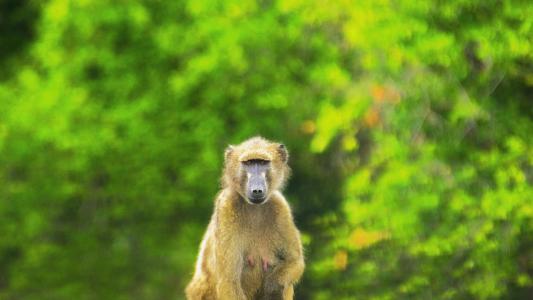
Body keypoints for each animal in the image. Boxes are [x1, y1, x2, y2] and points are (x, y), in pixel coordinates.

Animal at [186, 137, 304, 298]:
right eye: (248, 163)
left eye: (262, 163)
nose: (257, 190)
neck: (254, 208)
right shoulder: (226, 206)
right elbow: (229, 282)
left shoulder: (280, 206)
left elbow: (295, 261)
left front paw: (273, 284)